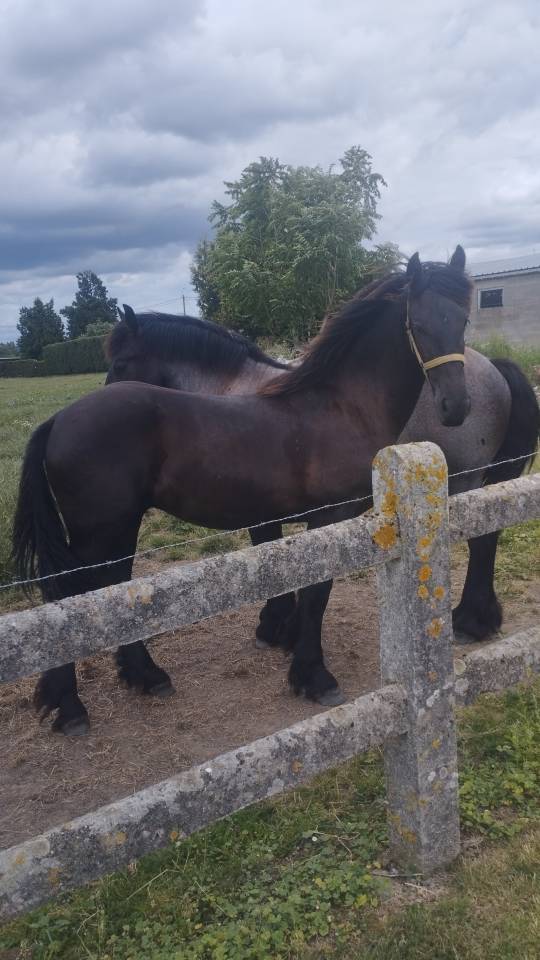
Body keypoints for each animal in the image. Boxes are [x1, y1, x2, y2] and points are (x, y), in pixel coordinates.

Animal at [12, 248, 475, 736]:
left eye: (462, 320)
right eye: (418, 324)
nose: (455, 406)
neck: (340, 406)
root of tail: (58, 420)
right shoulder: (327, 518)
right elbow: (317, 593)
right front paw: (314, 676)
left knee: (110, 589)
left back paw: (144, 676)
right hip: (99, 531)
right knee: (66, 599)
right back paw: (71, 707)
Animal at [106, 283, 539, 647]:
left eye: (121, 362)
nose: (107, 398)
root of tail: (492, 369)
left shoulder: (261, 513)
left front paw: (275, 627)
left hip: (465, 481)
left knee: (482, 540)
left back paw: (468, 621)